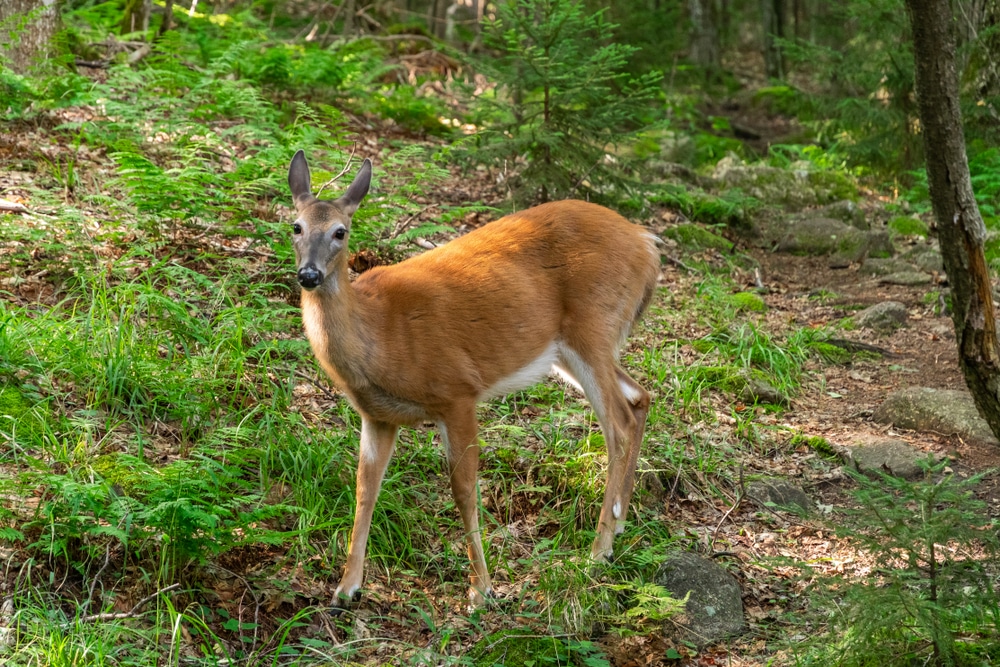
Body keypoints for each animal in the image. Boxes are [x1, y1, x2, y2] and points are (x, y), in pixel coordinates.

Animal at [288, 149, 664, 608]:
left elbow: (464, 489)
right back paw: (620, 521)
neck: (380, 334)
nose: (309, 275)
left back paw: (598, 550)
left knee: (618, 426)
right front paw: (346, 587)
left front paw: (481, 589)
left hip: (593, 328)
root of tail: (646, 244)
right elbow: (365, 489)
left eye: (340, 231)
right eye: (296, 226)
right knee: (640, 395)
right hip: (571, 350)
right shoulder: (378, 416)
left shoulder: (457, 391)